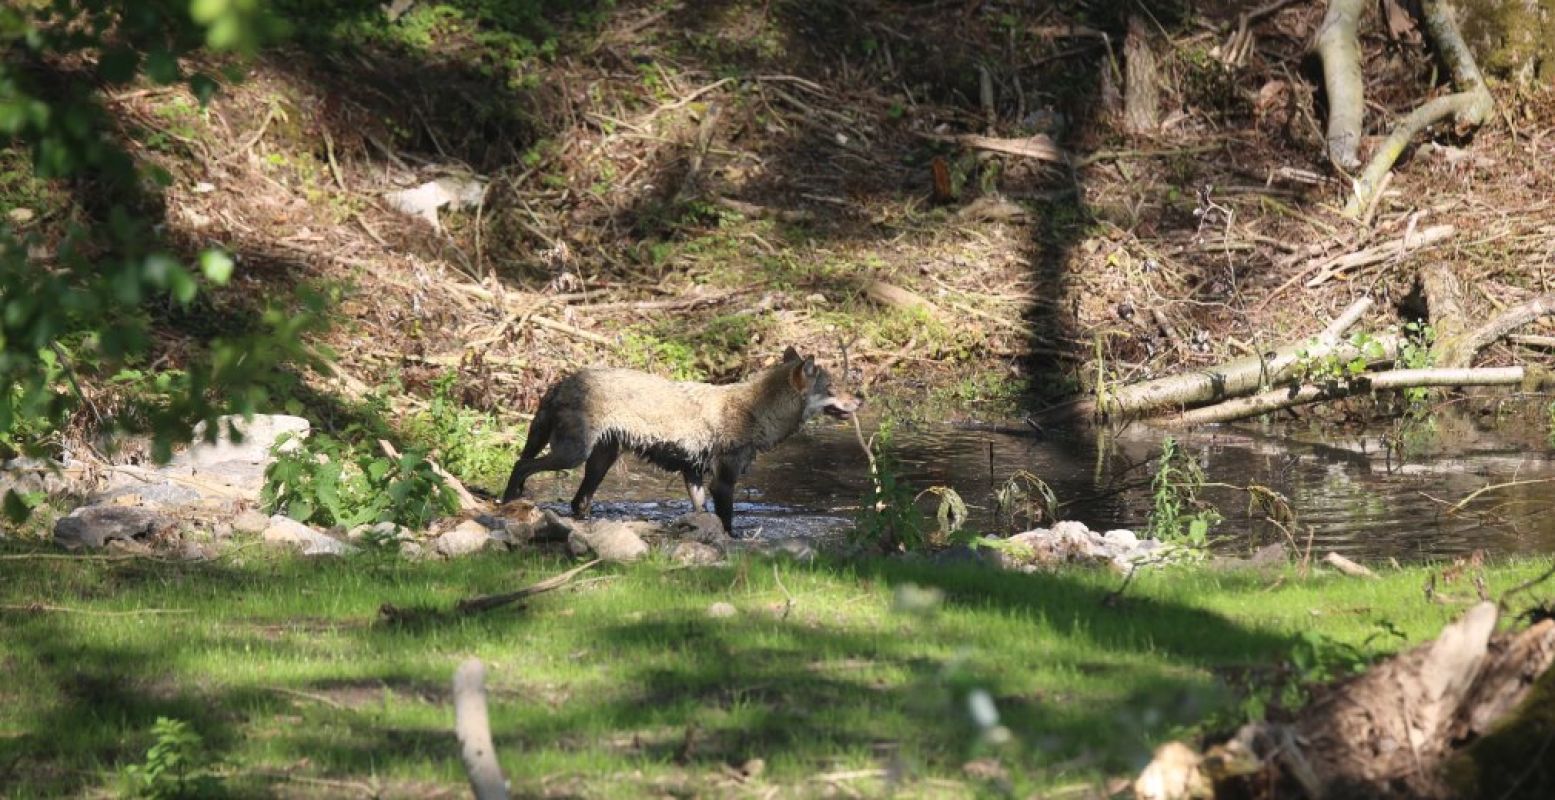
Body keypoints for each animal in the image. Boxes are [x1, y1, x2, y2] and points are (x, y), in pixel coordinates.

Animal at [500, 345, 858, 532]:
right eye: (833, 389)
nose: (859, 402)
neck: (755, 410)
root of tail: (560, 383)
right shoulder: (722, 482)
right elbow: (727, 521)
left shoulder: (694, 475)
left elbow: (702, 514)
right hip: (573, 455)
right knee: (521, 464)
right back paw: (508, 501)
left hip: (599, 461)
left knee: (578, 501)